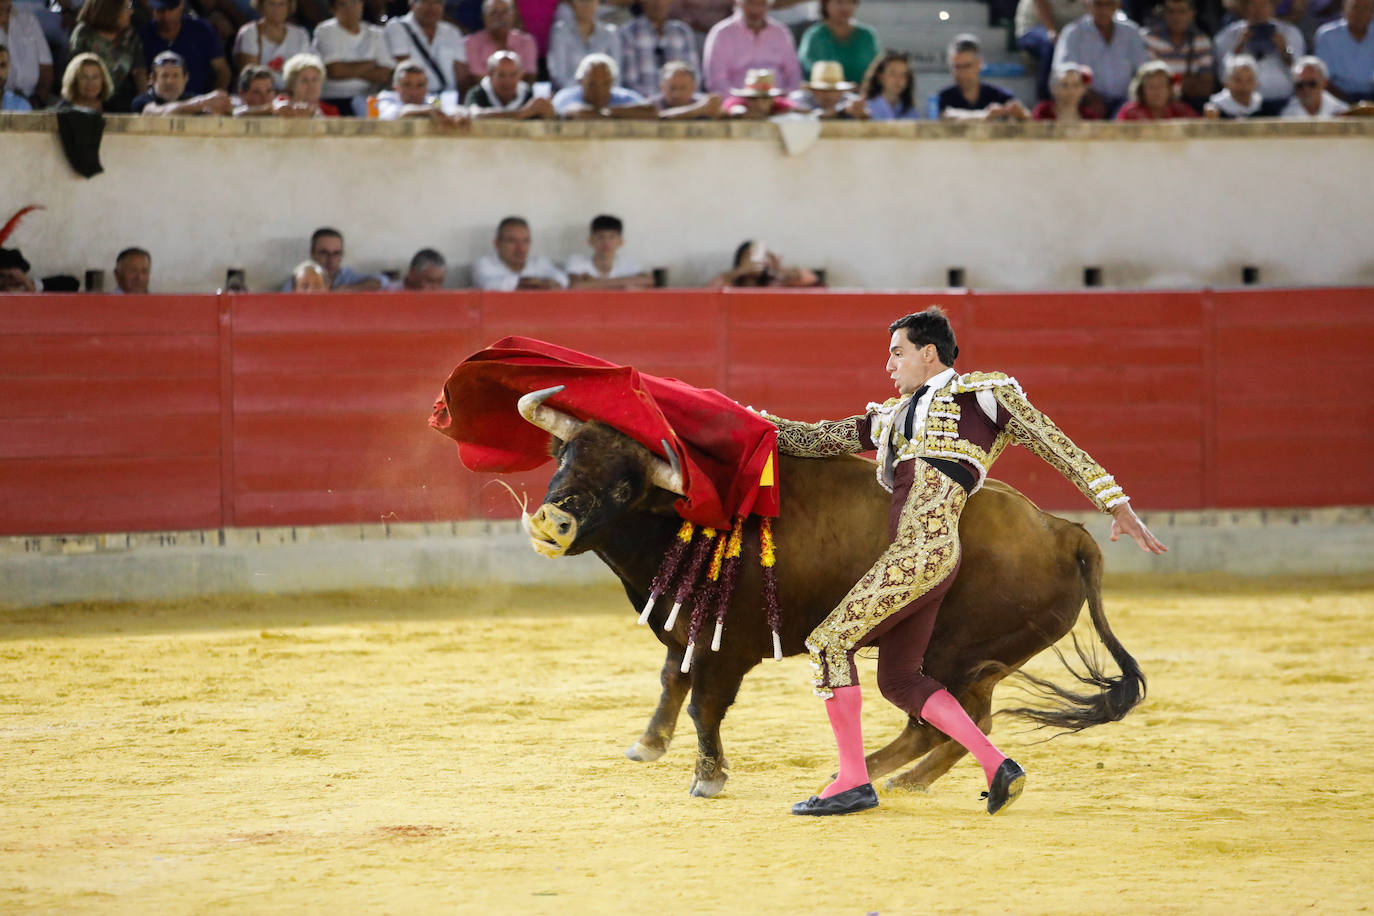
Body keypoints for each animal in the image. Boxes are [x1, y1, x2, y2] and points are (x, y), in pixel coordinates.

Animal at [511, 390, 1143, 802]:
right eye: (565, 457)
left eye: (626, 486)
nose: (551, 523)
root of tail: (1065, 532)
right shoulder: (684, 629)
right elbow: (672, 681)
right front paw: (648, 745)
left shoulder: (725, 647)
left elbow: (703, 703)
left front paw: (707, 776)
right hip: (964, 658)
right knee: (956, 718)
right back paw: (897, 776)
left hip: (957, 653)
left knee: (950, 717)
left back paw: (877, 776)